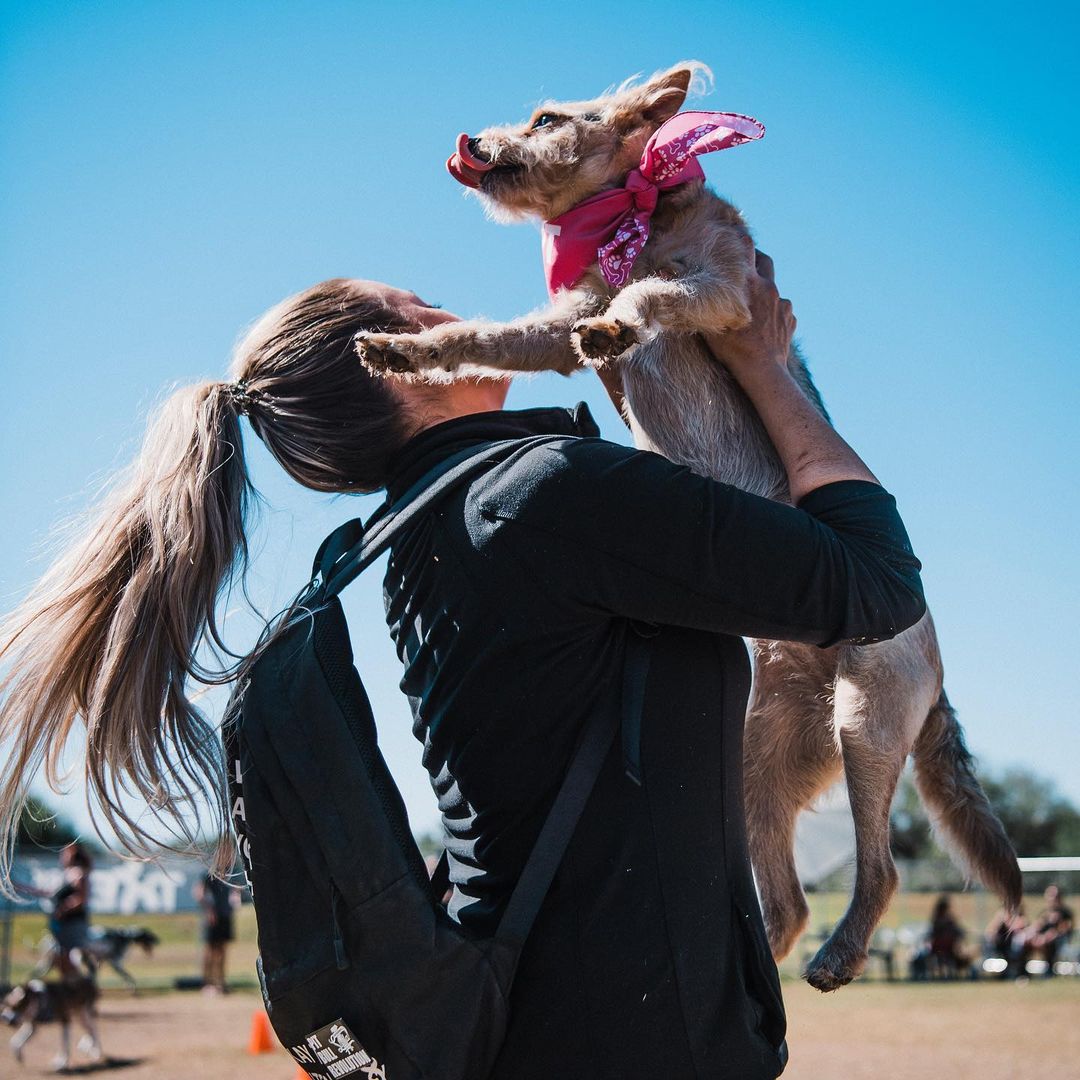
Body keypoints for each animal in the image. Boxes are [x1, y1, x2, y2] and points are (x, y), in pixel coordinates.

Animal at [356, 59, 1019, 989]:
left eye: (549, 118)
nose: (474, 141)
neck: (630, 213)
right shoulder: (550, 332)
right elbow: (483, 336)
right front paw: (402, 350)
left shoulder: (723, 289)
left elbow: (649, 290)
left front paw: (621, 319)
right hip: (760, 756)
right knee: (788, 899)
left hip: (867, 717)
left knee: (882, 869)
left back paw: (839, 953)